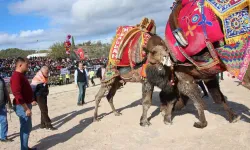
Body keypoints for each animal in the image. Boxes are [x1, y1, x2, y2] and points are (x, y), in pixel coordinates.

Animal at [142, 0, 249, 129]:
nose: (146, 75)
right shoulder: (208, 75)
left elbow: (196, 101)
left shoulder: (183, 76)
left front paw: (200, 123)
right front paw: (233, 117)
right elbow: (218, 97)